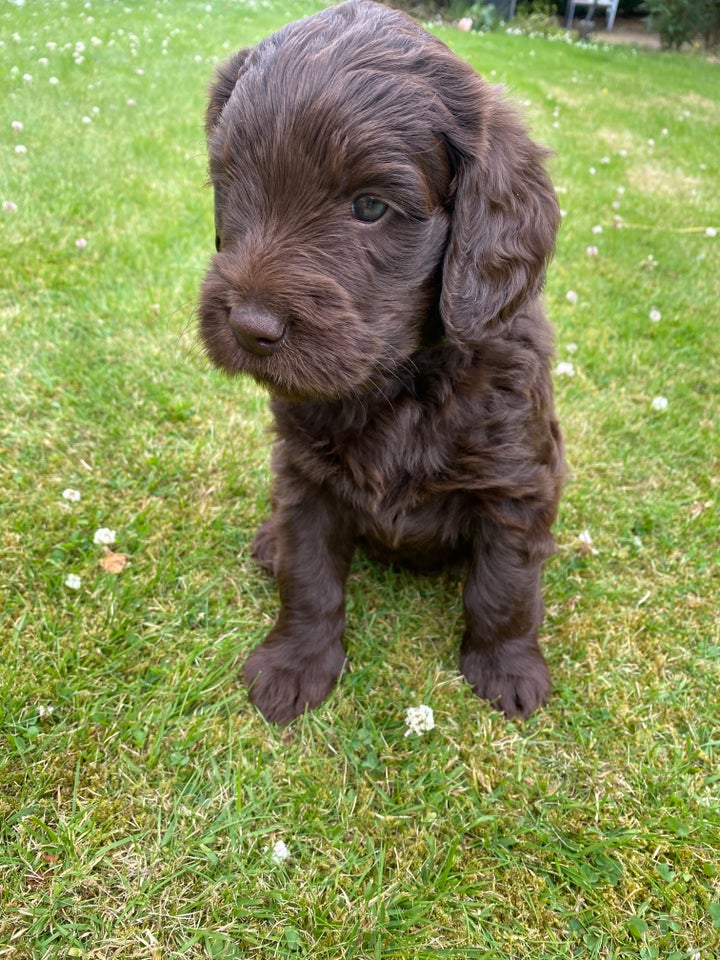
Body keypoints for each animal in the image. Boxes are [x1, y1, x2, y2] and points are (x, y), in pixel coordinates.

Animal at [200, 0, 564, 720]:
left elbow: (504, 588)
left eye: (371, 206)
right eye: (230, 185)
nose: (248, 328)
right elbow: (309, 577)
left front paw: (506, 667)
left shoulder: (516, 486)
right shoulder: (306, 478)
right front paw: (295, 665)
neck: (405, 384)